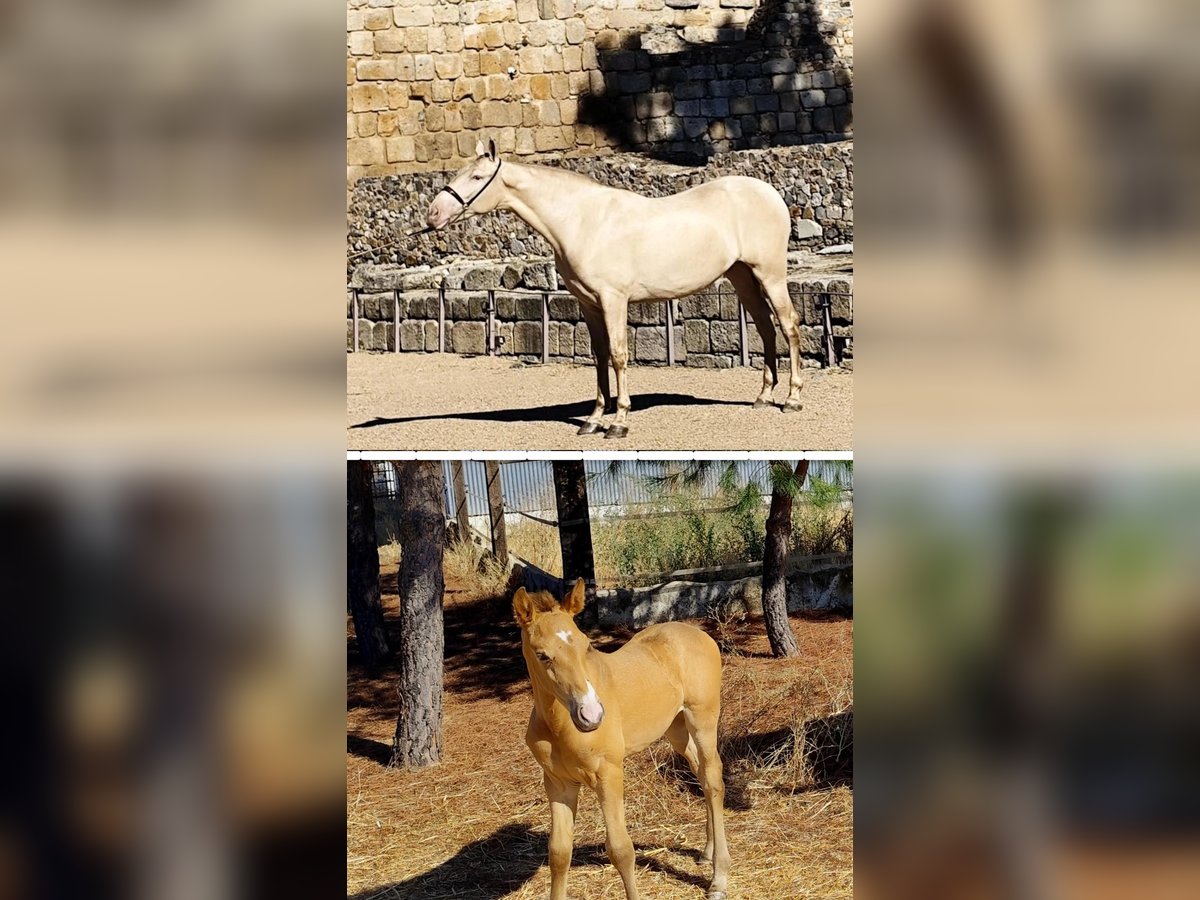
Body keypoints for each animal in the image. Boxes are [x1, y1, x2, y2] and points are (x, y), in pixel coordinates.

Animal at [426, 138, 803, 439]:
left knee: (788, 326)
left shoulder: (614, 300)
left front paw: (619, 421)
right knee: (766, 328)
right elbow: (600, 356)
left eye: (476, 178)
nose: (432, 214)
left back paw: (792, 399)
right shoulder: (589, 304)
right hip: (741, 276)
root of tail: (769, 193)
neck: (582, 220)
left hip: (770, 274)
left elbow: (620, 355)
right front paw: (593, 420)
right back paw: (763, 396)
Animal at [513, 578, 731, 900]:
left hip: (702, 717)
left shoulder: (609, 774)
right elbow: (559, 852)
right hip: (676, 728)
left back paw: (719, 877)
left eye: (586, 646)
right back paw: (707, 852)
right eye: (542, 655)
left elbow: (620, 849)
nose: (591, 714)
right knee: (701, 775)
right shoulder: (558, 783)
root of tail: (699, 633)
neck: (559, 725)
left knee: (714, 778)